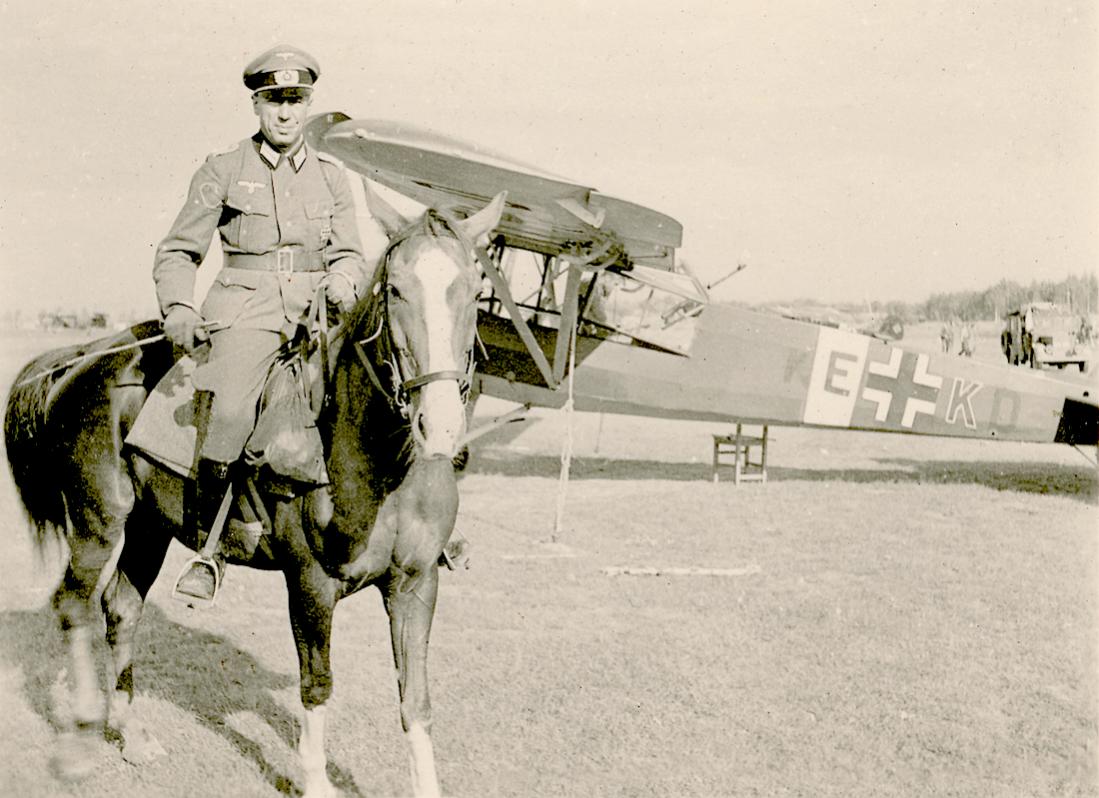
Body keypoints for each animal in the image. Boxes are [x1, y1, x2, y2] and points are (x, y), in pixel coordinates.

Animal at [2, 190, 507, 795]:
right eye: (394, 290)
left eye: (475, 291)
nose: (442, 426)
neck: (381, 464)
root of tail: (83, 357)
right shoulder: (310, 584)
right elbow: (317, 685)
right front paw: (314, 780)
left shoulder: (417, 584)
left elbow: (416, 699)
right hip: (97, 523)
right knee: (73, 607)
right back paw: (78, 742)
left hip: (148, 528)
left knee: (120, 608)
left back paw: (132, 734)